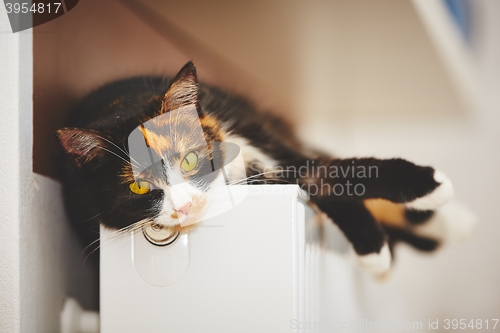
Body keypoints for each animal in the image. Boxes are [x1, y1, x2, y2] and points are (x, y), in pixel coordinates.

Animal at [56, 62, 470, 274]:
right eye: (139, 187)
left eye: (189, 159)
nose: (184, 206)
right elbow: (324, 183)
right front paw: (375, 248)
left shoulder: (260, 138)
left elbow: (333, 173)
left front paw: (429, 186)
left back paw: (454, 221)